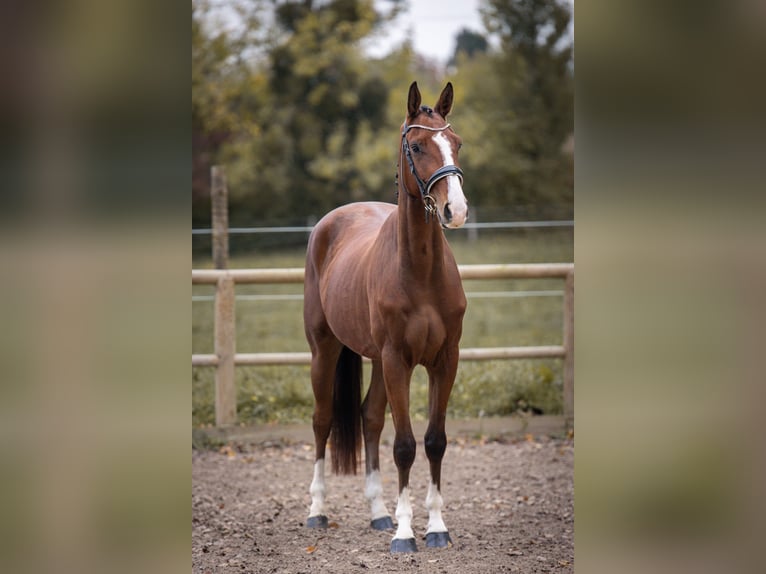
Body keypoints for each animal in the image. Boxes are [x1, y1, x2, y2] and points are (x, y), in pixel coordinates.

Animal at [304, 81, 468, 552]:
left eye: (456, 143)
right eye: (416, 146)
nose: (456, 210)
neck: (420, 271)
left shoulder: (444, 360)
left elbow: (434, 441)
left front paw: (436, 528)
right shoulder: (399, 360)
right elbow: (406, 446)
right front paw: (405, 534)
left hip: (376, 360)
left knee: (370, 419)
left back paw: (378, 513)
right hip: (325, 350)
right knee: (322, 421)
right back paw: (317, 511)